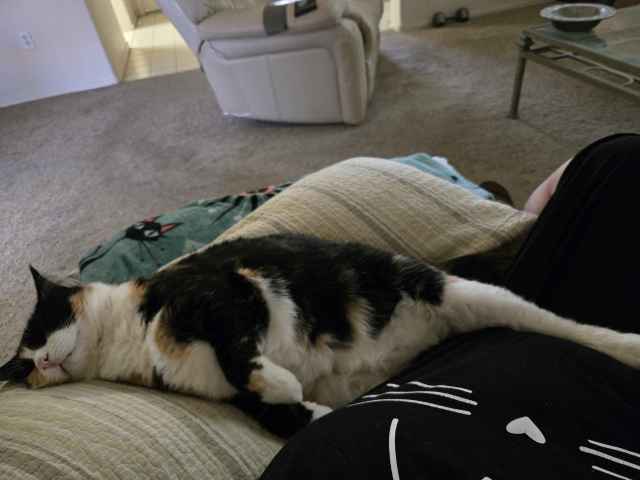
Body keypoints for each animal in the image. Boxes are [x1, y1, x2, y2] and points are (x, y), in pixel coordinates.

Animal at [2, 234, 640, 438]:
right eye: (23, 367)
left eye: (37, 331)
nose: (40, 364)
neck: (128, 341)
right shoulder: (224, 394)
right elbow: (285, 414)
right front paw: (305, 405)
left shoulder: (225, 289)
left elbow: (230, 351)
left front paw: (282, 379)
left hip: (459, 292)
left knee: (560, 324)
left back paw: (627, 346)